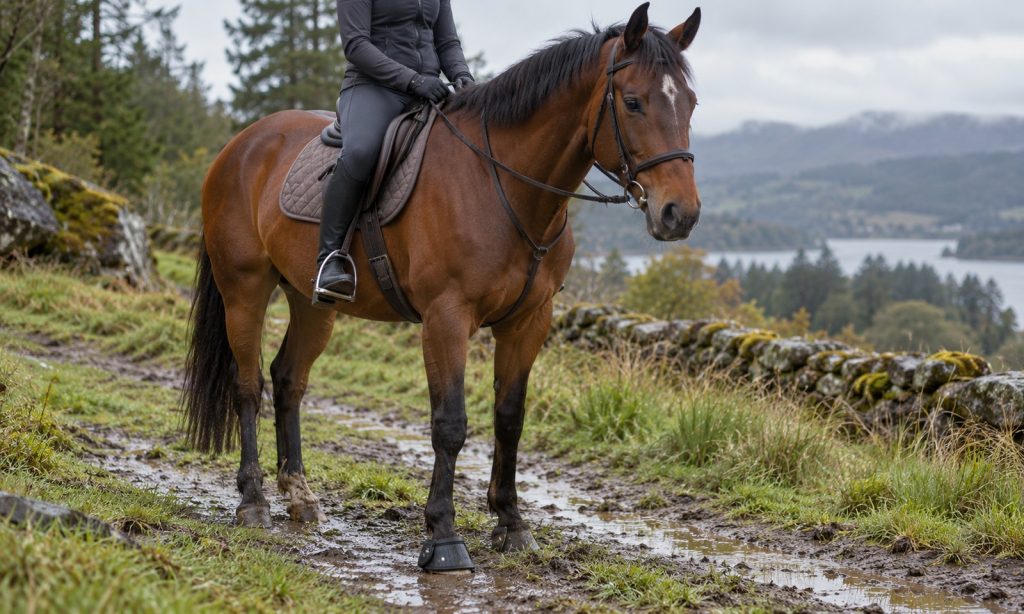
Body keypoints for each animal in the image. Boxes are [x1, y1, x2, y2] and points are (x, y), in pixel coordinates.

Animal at [182, 2, 701, 572]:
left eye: (691, 103)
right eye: (632, 102)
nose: (679, 214)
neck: (502, 185)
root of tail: (241, 143)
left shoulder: (528, 322)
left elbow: (509, 419)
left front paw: (511, 524)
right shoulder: (446, 318)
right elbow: (450, 424)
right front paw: (444, 538)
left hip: (312, 301)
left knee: (288, 380)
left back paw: (299, 496)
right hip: (244, 289)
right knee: (247, 385)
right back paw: (253, 501)